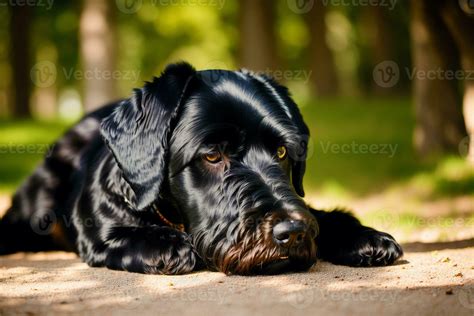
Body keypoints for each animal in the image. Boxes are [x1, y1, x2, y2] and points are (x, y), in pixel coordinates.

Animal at [0, 63, 404, 276]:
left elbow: (328, 215)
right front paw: (166, 245)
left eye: (281, 151)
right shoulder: (99, 233)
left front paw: (364, 237)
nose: (292, 233)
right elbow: (126, 235)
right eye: (212, 156)